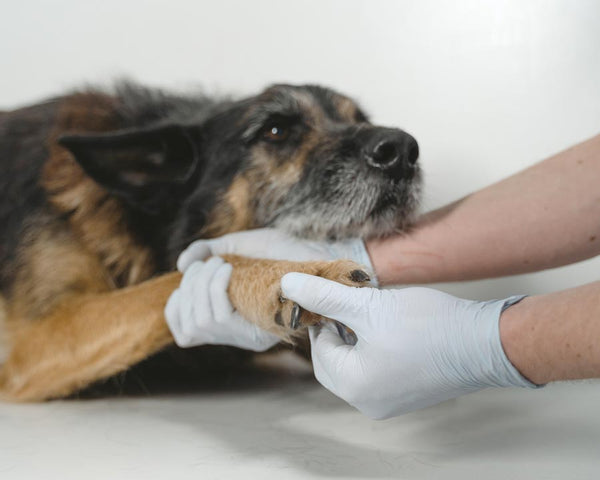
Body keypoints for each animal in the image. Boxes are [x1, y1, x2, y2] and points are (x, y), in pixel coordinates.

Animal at [0, 80, 422, 400]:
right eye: (276, 130)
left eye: (359, 120)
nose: (402, 150)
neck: (140, 223)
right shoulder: (36, 342)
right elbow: (202, 266)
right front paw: (298, 273)